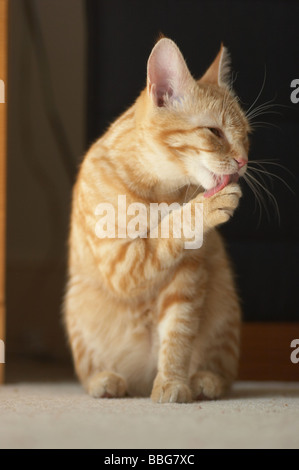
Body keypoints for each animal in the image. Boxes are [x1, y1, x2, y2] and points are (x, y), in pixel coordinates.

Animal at [64, 37, 250, 404]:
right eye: (214, 132)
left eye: (247, 134)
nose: (243, 161)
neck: (160, 190)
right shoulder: (122, 263)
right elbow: (168, 229)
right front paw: (204, 207)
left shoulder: (187, 277)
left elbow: (177, 337)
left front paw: (172, 382)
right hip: (78, 303)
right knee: (93, 370)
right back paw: (105, 381)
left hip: (223, 299)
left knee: (221, 370)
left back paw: (204, 380)